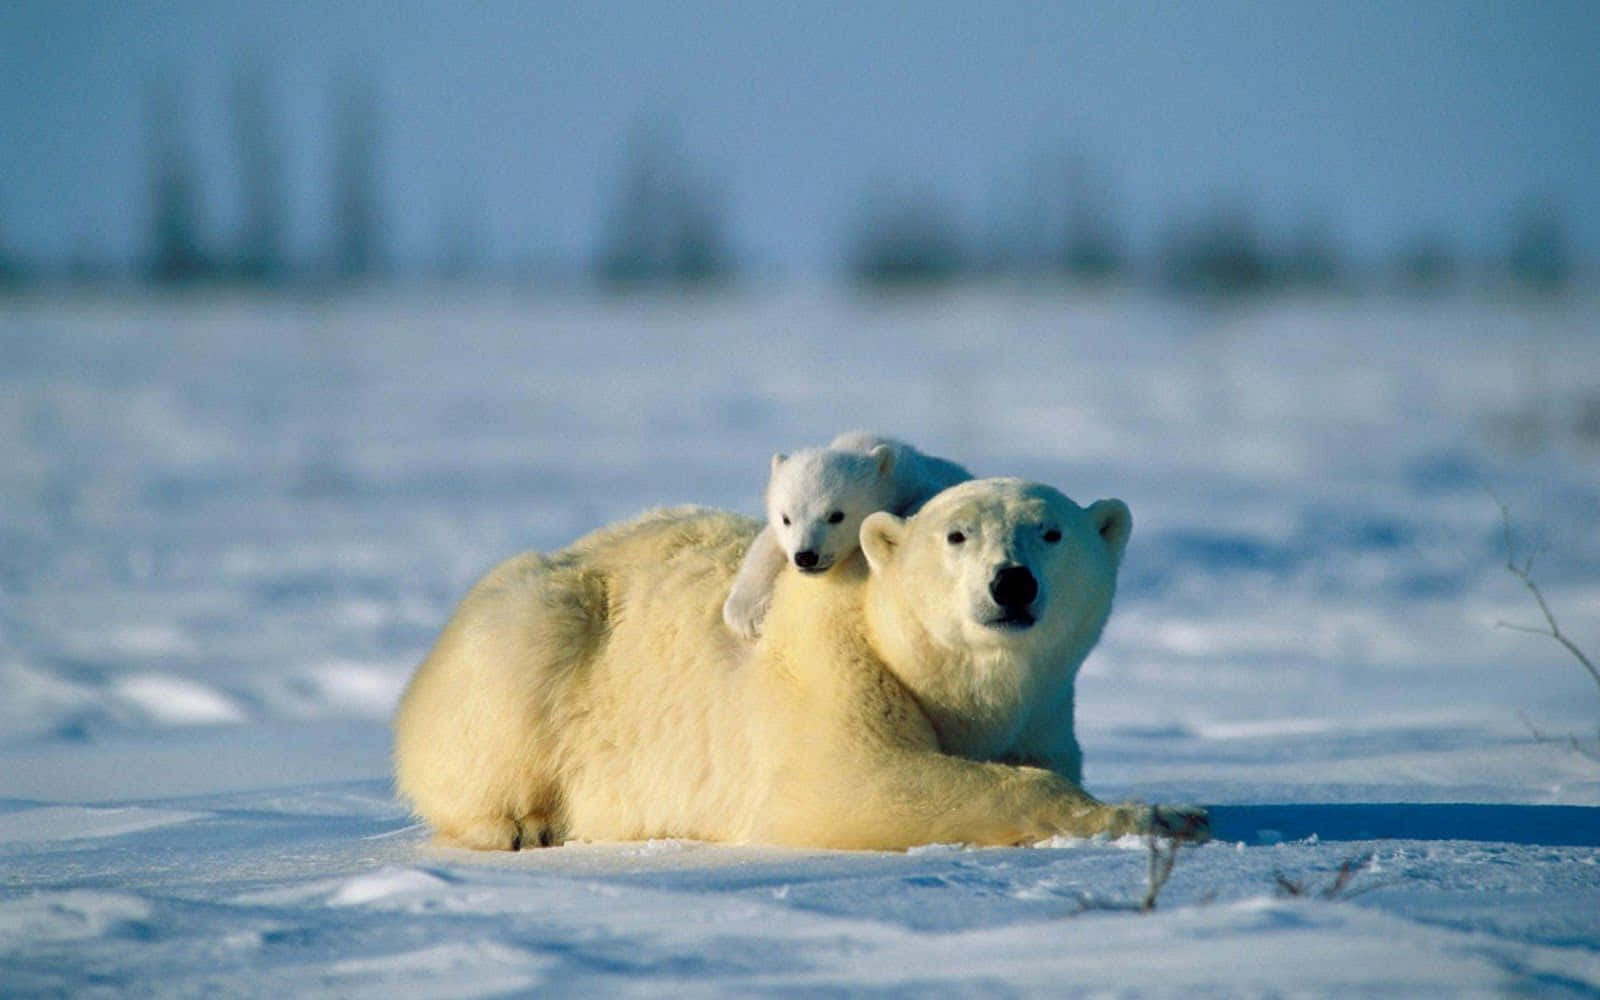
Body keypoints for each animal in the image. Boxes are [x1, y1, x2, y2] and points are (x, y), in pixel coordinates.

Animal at [391, 477, 1208, 851]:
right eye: (957, 535)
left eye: (1051, 531)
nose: (1012, 583)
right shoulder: (832, 666)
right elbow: (860, 781)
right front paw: (1164, 813)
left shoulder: (1043, 709)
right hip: (537, 625)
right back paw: (521, 824)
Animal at [721, 431, 973, 641]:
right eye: (786, 518)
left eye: (836, 515)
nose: (806, 557)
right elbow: (766, 544)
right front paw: (746, 614)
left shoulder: (919, 482)